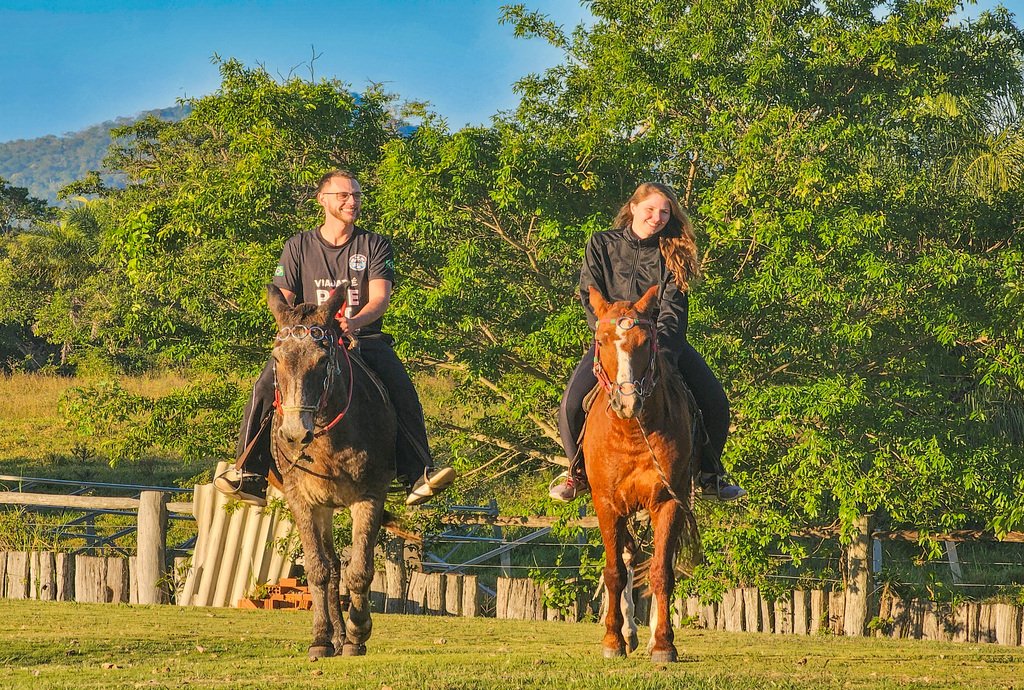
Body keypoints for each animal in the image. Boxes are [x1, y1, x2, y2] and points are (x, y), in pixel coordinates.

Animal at [266, 283, 397, 660]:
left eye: (323, 360)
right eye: (277, 360)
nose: (295, 434)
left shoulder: (370, 496)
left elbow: (361, 571)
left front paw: (358, 632)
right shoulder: (302, 501)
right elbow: (318, 571)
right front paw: (322, 638)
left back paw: (347, 634)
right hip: (323, 507)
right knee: (332, 567)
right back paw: (335, 635)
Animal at [582, 284, 701, 663]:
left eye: (646, 341)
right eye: (601, 340)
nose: (627, 401)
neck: (632, 434)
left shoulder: (668, 502)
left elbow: (661, 572)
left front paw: (663, 644)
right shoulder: (606, 504)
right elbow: (614, 572)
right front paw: (613, 640)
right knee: (627, 558)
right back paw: (626, 631)